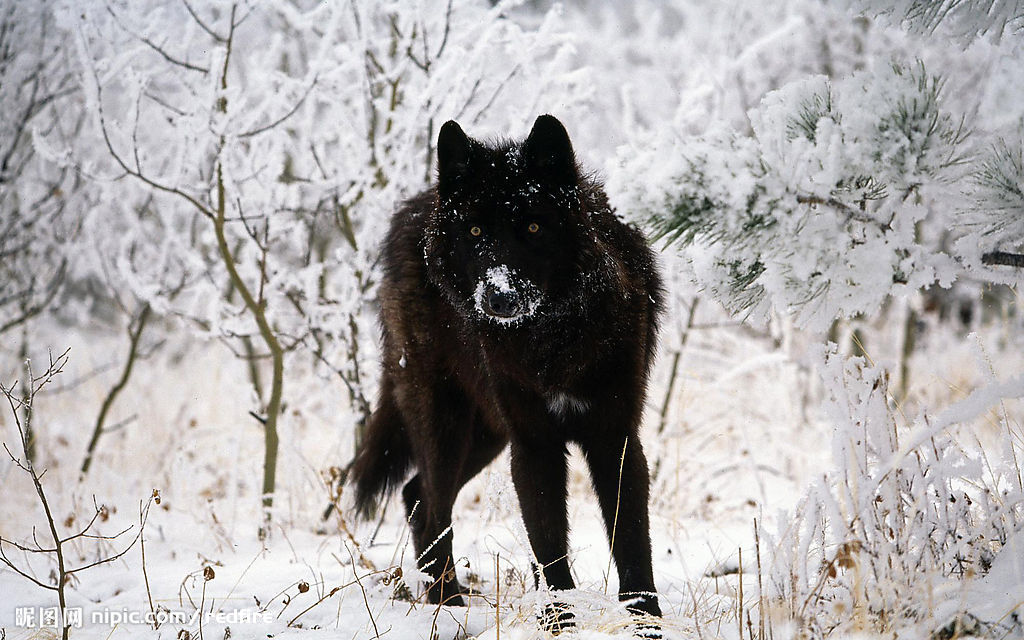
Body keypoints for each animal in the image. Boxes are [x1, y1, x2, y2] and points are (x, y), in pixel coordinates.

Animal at [348, 113, 659, 618]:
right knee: (432, 505)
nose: (500, 297)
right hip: (447, 424)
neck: (551, 341)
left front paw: (647, 620)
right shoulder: (533, 445)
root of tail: (415, 207)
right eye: (475, 233)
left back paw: (447, 603)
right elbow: (548, 546)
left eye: (532, 227)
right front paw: (559, 620)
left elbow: (631, 540)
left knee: (417, 494)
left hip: (487, 434)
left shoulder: (615, 438)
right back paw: (447, 606)